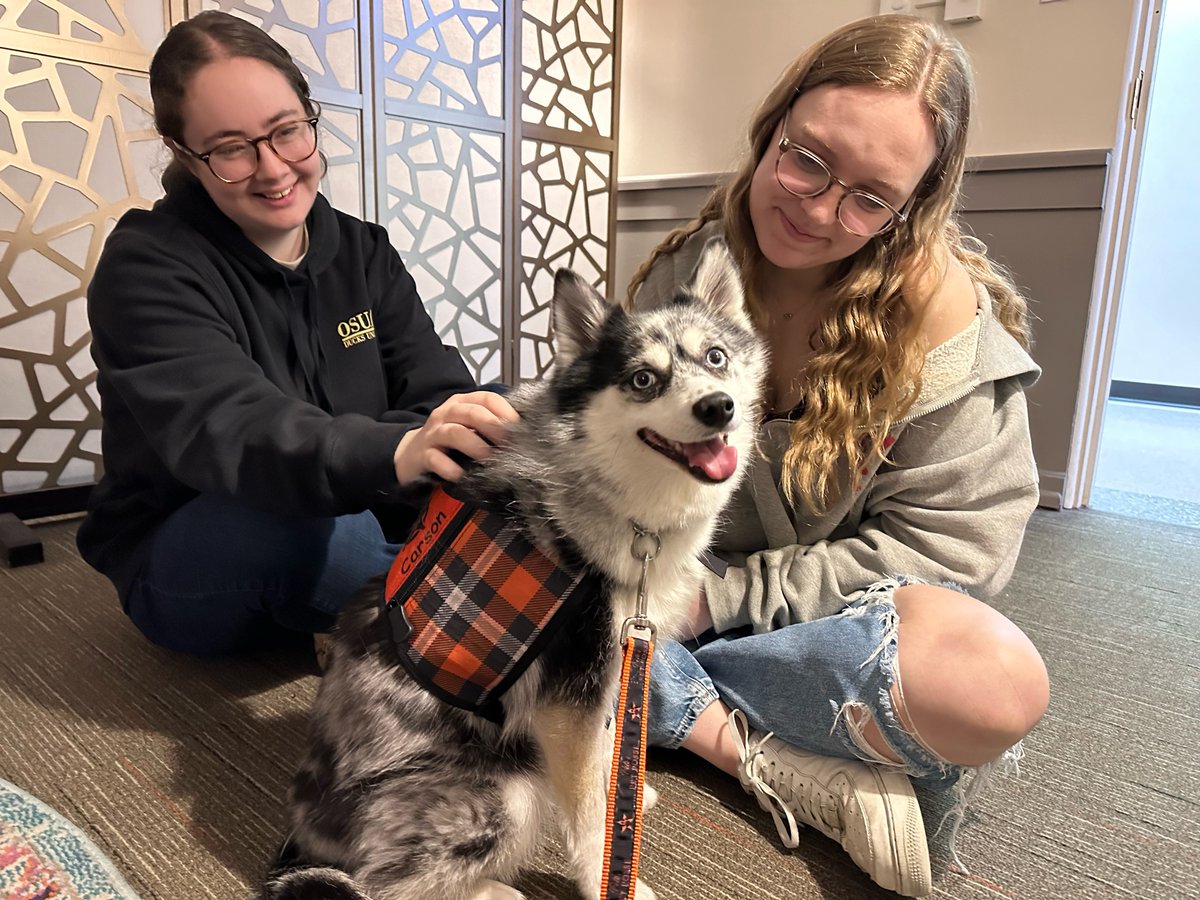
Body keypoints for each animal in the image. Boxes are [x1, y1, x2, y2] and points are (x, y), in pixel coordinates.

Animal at [266, 240, 763, 900]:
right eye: (643, 379)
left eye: (716, 356)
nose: (718, 407)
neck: (608, 494)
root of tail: (302, 836)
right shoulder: (569, 694)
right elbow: (586, 810)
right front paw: (606, 870)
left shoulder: (608, 672)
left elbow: (609, 747)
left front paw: (628, 791)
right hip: (505, 791)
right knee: (380, 885)